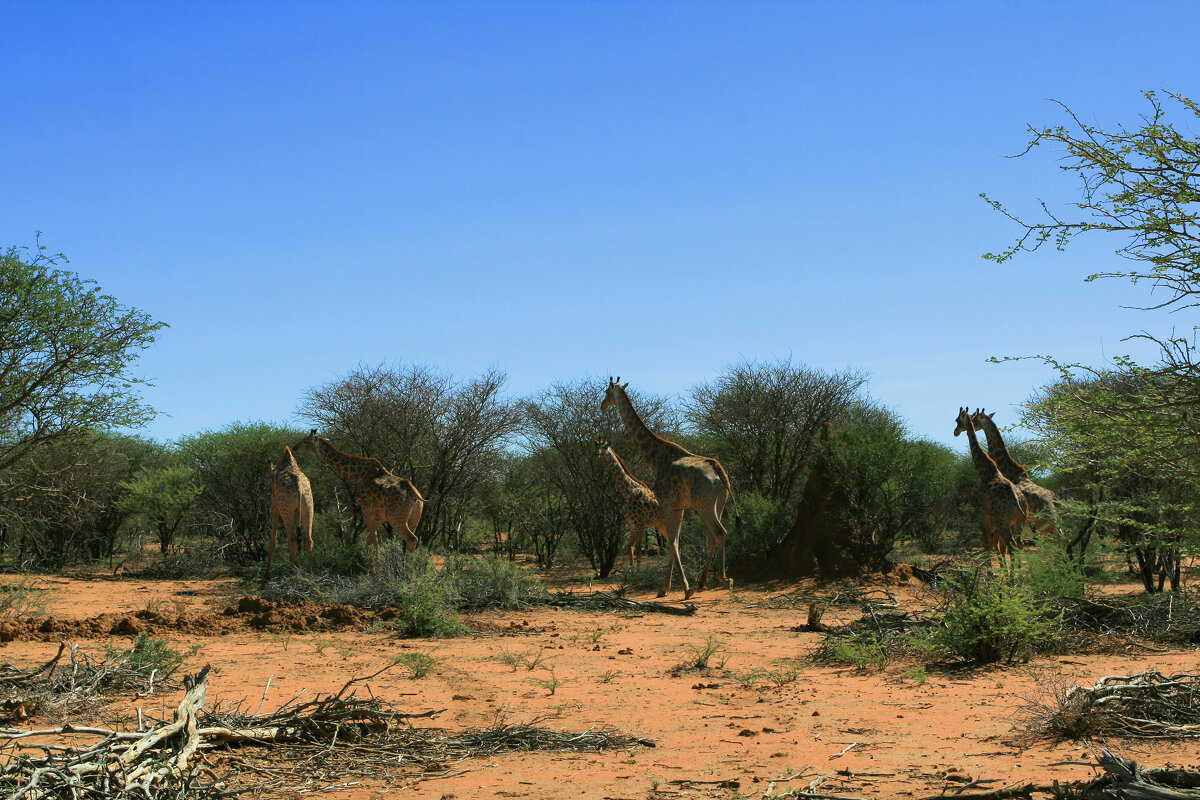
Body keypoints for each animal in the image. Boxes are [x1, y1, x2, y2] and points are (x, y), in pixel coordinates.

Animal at [266, 443, 314, 582]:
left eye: (269, 479)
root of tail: (299, 488)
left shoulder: (275, 506)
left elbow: (273, 540)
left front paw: (266, 576)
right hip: (308, 506)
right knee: (309, 539)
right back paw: (311, 573)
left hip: (287, 510)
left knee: (292, 539)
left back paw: (292, 573)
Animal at [295, 431, 427, 556]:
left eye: (306, 441)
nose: (295, 447)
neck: (358, 474)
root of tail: (415, 496)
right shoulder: (378, 516)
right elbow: (370, 541)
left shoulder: (366, 509)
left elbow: (374, 541)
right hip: (414, 517)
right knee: (411, 541)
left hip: (396, 518)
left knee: (411, 539)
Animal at [595, 441, 672, 573]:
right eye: (596, 446)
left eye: (605, 447)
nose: (596, 454)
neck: (628, 493)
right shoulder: (632, 524)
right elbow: (630, 547)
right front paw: (632, 571)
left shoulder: (640, 524)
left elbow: (639, 549)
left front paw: (639, 571)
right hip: (661, 525)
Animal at [955, 407, 1032, 556]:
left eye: (957, 420)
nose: (955, 432)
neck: (987, 471)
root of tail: (1018, 502)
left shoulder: (984, 511)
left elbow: (990, 542)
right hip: (1019, 520)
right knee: (1018, 543)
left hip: (1003, 520)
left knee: (1009, 544)